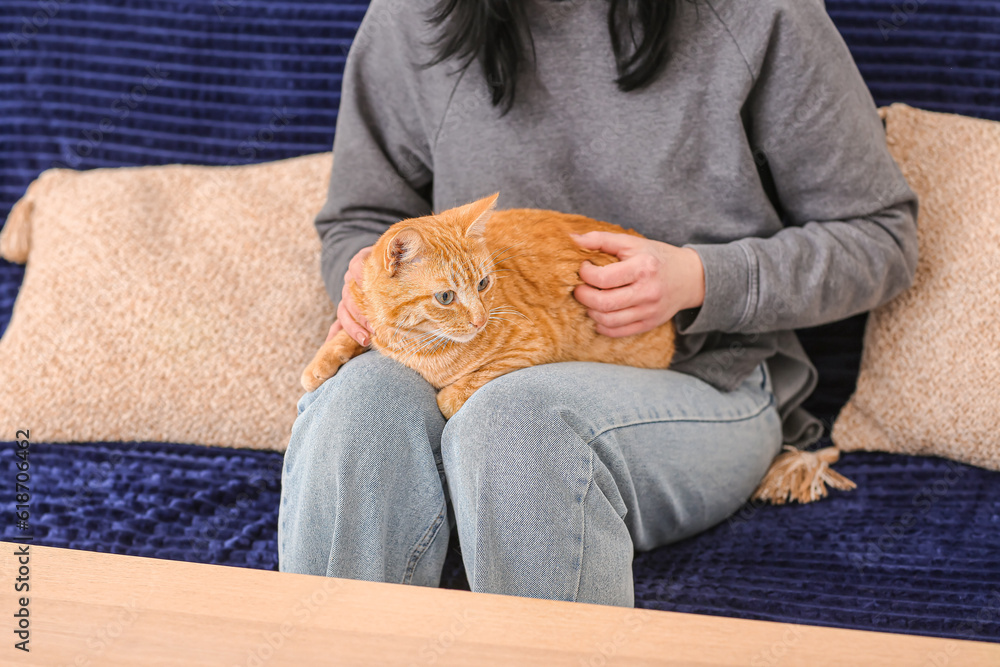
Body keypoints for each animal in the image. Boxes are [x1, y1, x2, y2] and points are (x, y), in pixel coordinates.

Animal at [302, 193, 680, 420]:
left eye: (483, 284)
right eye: (446, 297)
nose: (480, 320)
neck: (410, 341)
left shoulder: (531, 345)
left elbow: (453, 395)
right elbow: (352, 330)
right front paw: (320, 362)